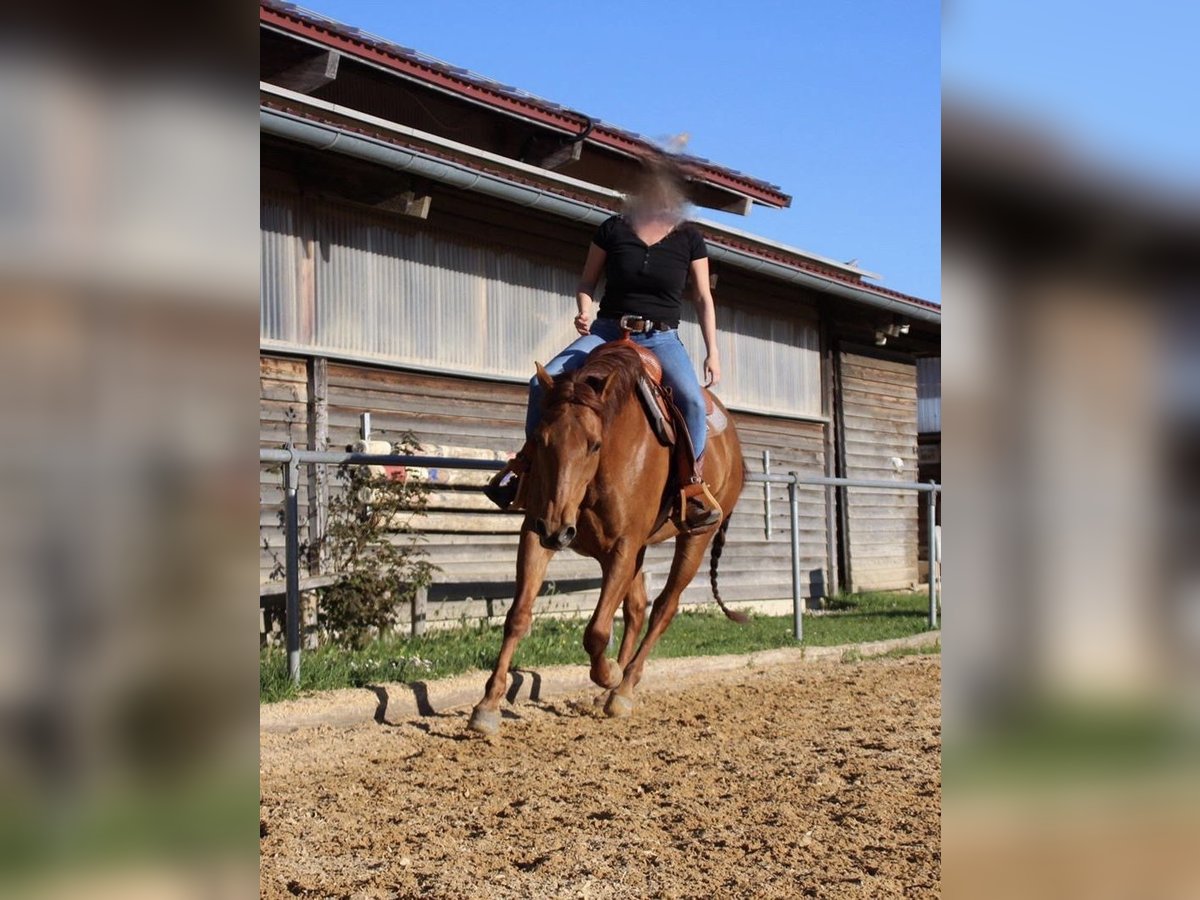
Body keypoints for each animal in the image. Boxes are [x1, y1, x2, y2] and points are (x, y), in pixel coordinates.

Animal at [465, 340, 739, 734]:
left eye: (594, 444)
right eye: (540, 440)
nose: (558, 529)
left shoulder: (623, 545)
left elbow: (596, 631)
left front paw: (609, 673)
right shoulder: (537, 530)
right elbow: (518, 615)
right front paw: (487, 705)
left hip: (695, 539)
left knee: (663, 609)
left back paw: (622, 688)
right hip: (629, 551)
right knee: (637, 609)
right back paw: (612, 689)